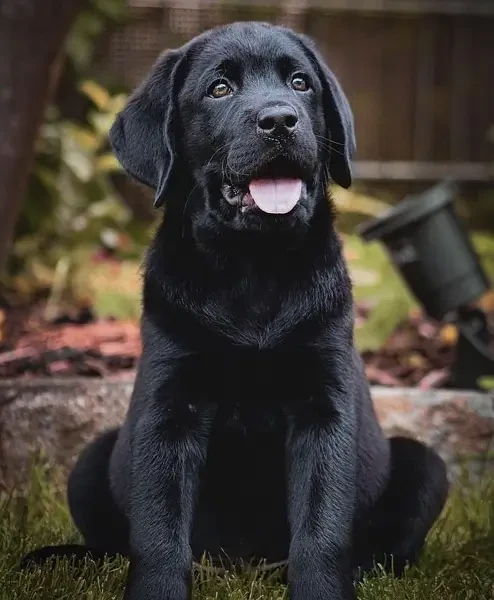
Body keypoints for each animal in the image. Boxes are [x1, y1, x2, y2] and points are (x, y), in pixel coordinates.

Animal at [21, 21, 450, 600]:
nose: (280, 119)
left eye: (300, 82)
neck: (252, 269)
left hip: (427, 468)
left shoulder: (323, 404)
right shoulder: (169, 406)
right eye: (219, 89)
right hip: (89, 463)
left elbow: (322, 527)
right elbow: (158, 531)